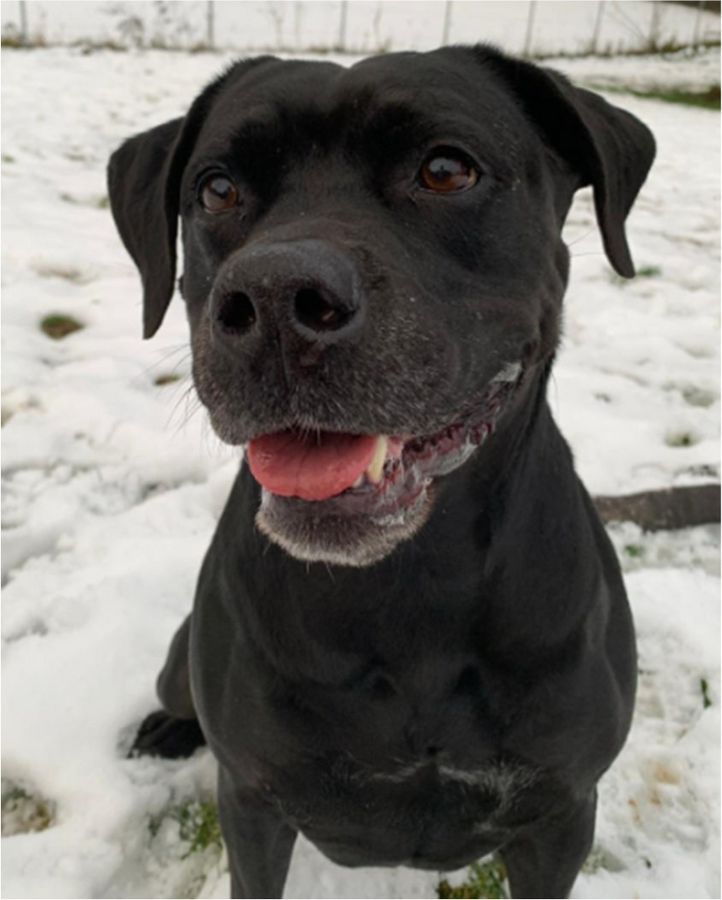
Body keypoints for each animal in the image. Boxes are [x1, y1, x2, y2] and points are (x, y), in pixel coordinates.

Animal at [108, 44, 655, 899]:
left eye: (446, 170)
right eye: (218, 188)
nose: (274, 297)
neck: (411, 587)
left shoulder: (560, 816)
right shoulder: (252, 800)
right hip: (179, 659)